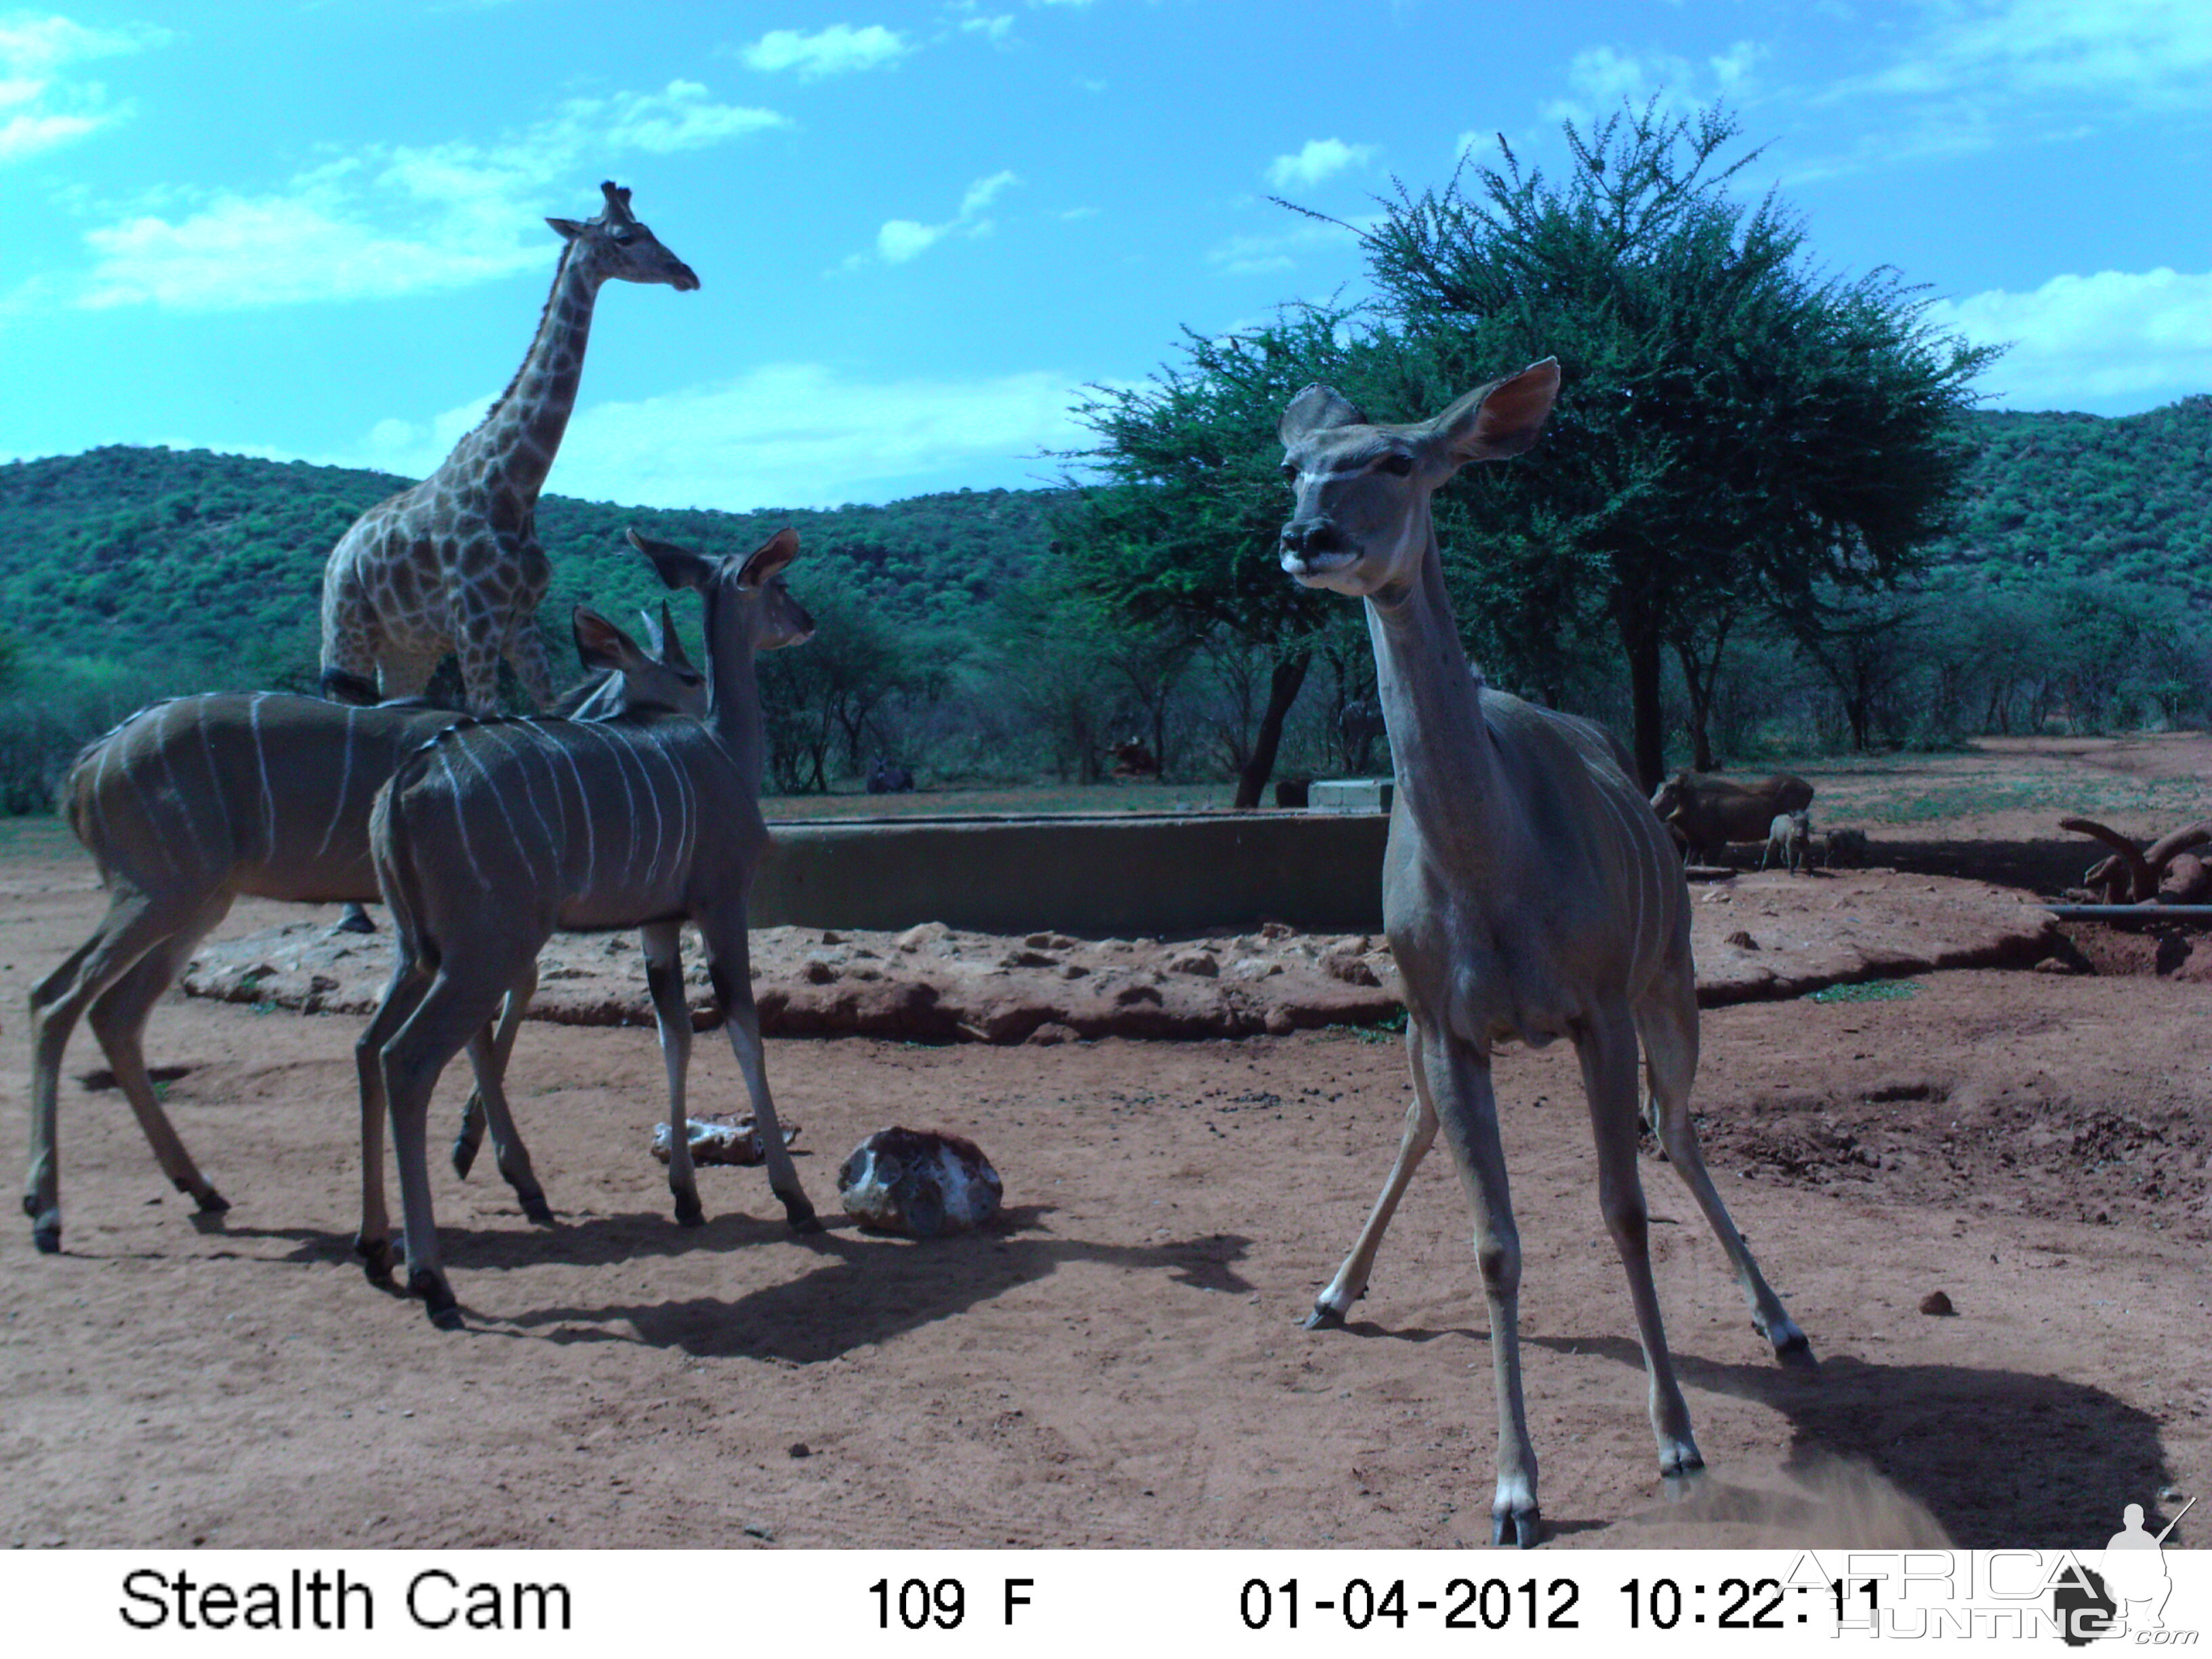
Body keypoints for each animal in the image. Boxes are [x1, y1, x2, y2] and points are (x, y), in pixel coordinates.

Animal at [319, 181, 699, 721]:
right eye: (624, 237)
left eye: (650, 228)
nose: (685, 273)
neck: (515, 487)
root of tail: (340, 552)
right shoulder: (476, 621)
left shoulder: (522, 620)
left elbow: (553, 712)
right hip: (346, 630)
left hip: (408, 647)